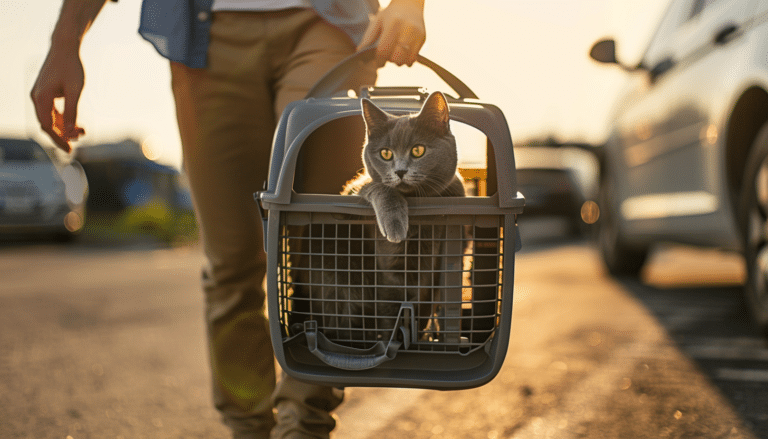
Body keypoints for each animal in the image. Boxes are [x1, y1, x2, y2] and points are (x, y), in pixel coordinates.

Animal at [292, 92, 464, 348]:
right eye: (385, 153)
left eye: (418, 150)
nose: (400, 171)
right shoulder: (391, 268)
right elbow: (393, 311)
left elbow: (430, 307)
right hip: (343, 274)